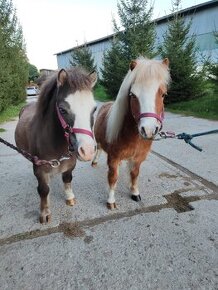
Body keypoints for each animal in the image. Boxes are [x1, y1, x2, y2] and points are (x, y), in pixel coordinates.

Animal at [14, 67, 96, 222]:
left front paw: (69, 198)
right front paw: (45, 213)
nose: (87, 151)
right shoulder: (40, 170)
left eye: (94, 109)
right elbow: (44, 190)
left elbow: (67, 179)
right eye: (63, 110)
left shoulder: (70, 165)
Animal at [92, 56, 170, 208]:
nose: (148, 130)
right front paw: (111, 201)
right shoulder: (113, 158)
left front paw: (134, 192)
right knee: (98, 148)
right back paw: (94, 161)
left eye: (164, 94)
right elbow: (113, 177)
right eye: (133, 95)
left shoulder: (138, 158)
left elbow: (134, 174)